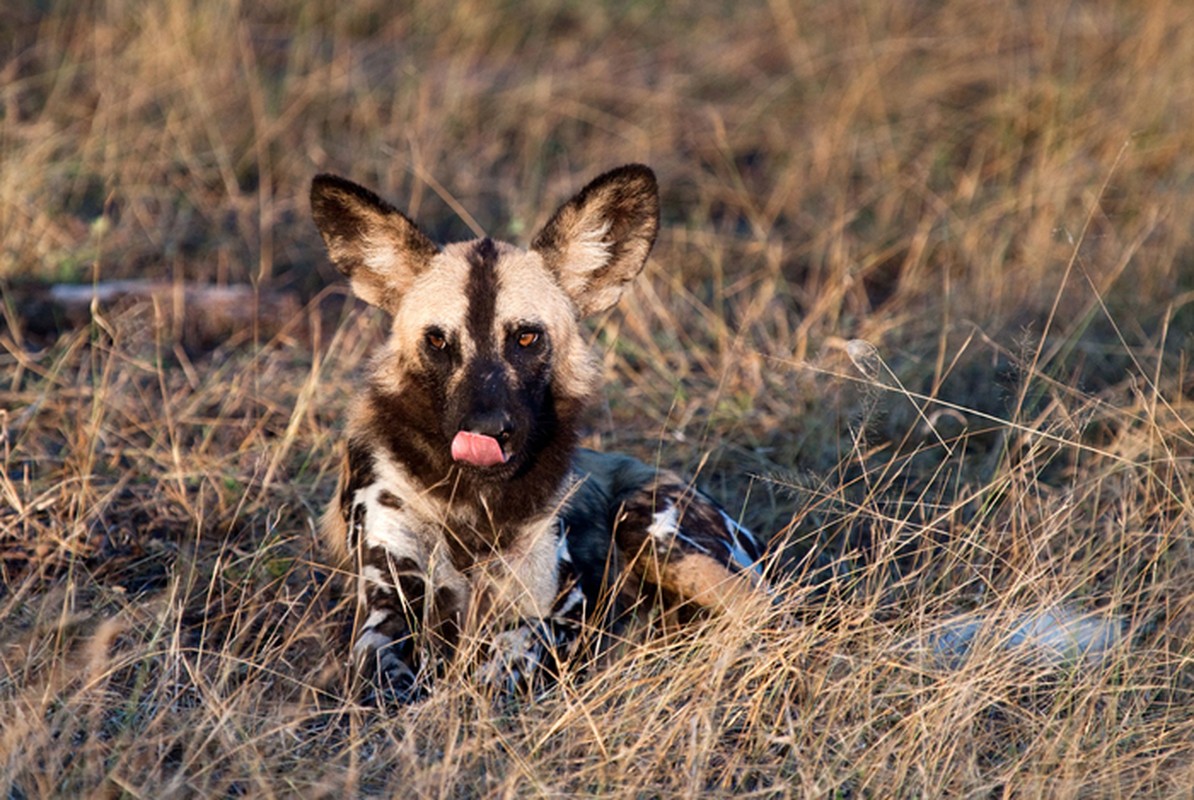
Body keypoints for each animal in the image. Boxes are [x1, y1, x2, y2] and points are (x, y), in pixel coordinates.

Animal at [310, 165, 764, 697]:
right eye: (438, 342)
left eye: (526, 338)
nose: (485, 430)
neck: (474, 504)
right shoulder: (384, 611)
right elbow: (391, 679)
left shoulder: (562, 614)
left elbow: (495, 667)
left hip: (650, 526)